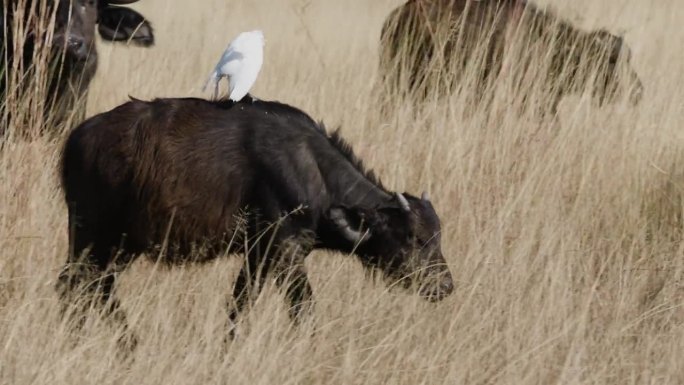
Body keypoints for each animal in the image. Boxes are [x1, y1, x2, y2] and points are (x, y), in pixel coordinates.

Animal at [58, 95, 454, 342]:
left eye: (437, 237)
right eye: (414, 238)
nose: (446, 286)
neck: (313, 170)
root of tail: (77, 138)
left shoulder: (257, 256)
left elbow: (238, 308)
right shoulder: (286, 253)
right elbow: (303, 309)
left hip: (121, 245)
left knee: (96, 286)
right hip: (92, 234)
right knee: (75, 285)